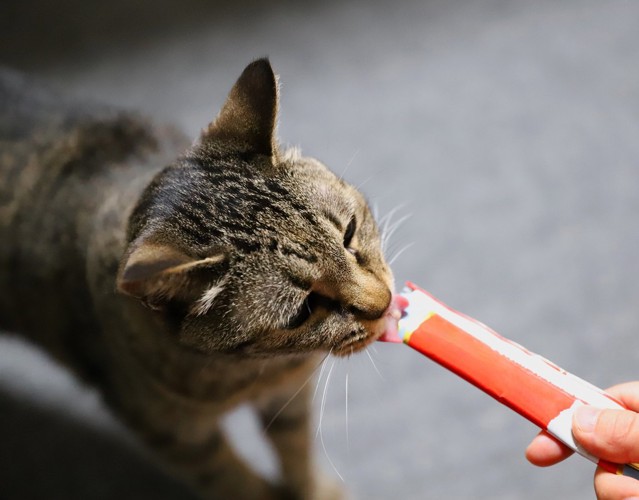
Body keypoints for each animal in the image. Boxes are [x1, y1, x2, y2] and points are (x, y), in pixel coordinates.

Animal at [0, 59, 396, 500]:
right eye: (303, 310)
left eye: (349, 232)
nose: (384, 303)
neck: (255, 373)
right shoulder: (179, 439)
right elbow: (233, 480)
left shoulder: (288, 399)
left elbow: (296, 453)